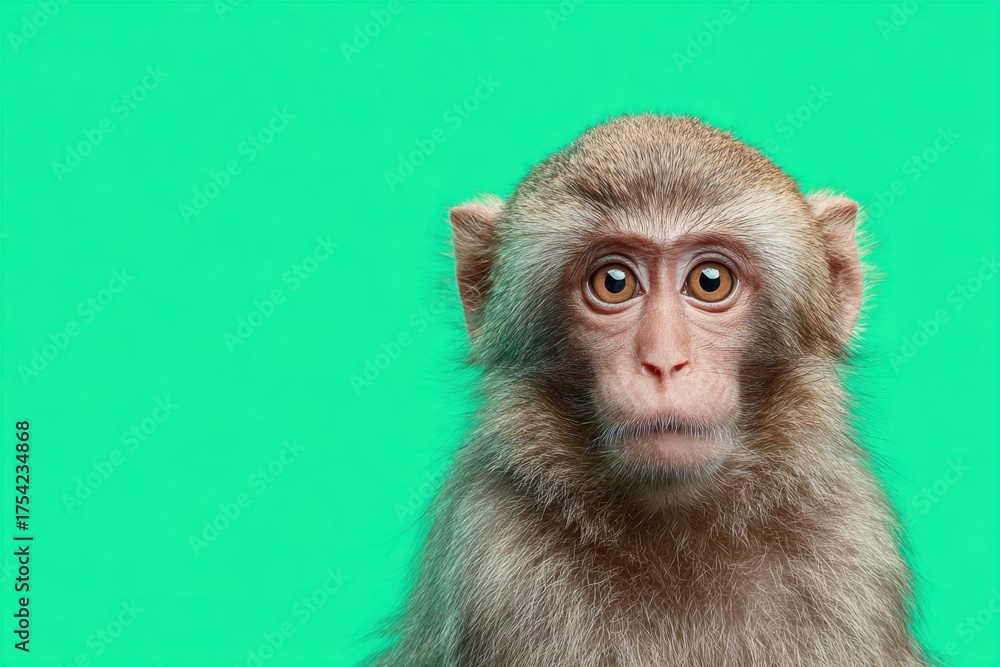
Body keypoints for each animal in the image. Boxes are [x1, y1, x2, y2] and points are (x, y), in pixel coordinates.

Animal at [368, 114, 932, 667]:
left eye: (710, 281)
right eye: (614, 282)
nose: (663, 362)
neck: (677, 534)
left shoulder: (851, 553)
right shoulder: (492, 565)